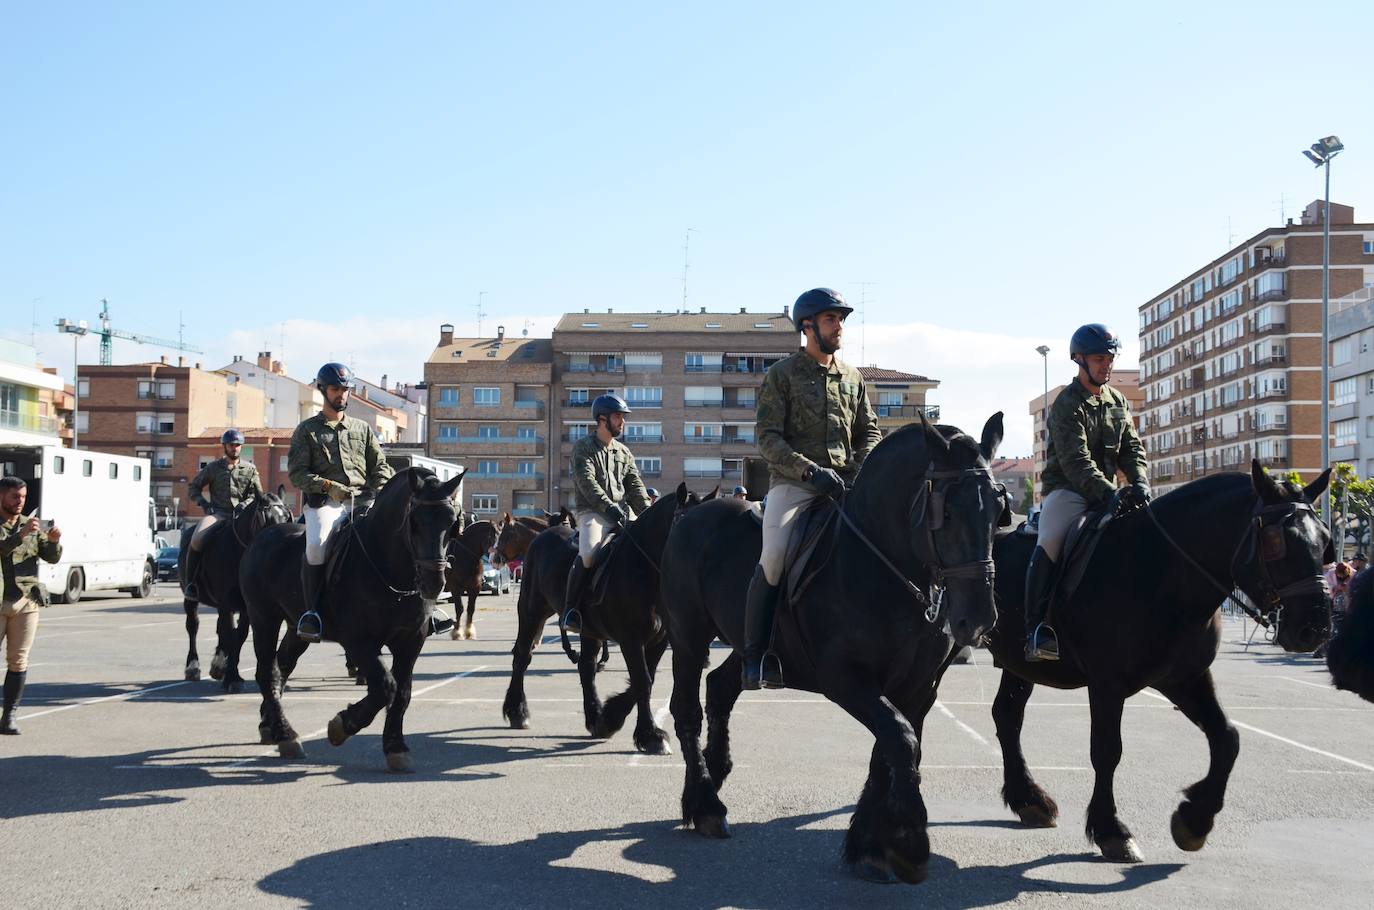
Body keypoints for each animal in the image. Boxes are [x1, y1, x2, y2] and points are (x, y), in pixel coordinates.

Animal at [178, 500, 291, 692]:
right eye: (264, 518)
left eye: (287, 517)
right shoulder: (226, 603)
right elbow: (231, 635)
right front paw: (231, 678)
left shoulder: (247, 606)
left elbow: (239, 635)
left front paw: (231, 673)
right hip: (191, 598)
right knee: (193, 626)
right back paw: (193, 666)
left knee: (219, 629)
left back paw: (218, 664)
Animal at [241, 467, 461, 775]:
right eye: (415, 521)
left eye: (452, 522)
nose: (433, 583)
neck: (387, 567)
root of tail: (264, 536)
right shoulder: (358, 641)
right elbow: (385, 687)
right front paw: (342, 725)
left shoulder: (411, 641)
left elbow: (402, 692)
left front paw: (396, 747)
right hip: (263, 619)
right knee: (267, 672)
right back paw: (286, 735)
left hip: (296, 628)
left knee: (281, 666)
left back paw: (270, 726)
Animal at [659, 417, 1005, 885]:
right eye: (946, 512)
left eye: (997, 512)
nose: (978, 620)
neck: (881, 565)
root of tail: (691, 516)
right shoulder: (846, 680)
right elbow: (900, 739)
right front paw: (910, 843)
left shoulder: (916, 687)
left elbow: (891, 748)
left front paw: (871, 844)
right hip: (689, 637)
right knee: (687, 710)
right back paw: (705, 803)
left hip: (745, 646)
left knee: (720, 687)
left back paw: (713, 777)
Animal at [989, 467, 1330, 868]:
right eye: (1277, 540)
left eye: (1325, 539)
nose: (1314, 628)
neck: (1162, 573)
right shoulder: (1107, 683)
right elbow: (1107, 750)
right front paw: (1112, 831)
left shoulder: (1185, 679)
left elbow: (1227, 738)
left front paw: (1194, 820)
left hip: (1017, 663)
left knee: (1007, 716)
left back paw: (1029, 799)